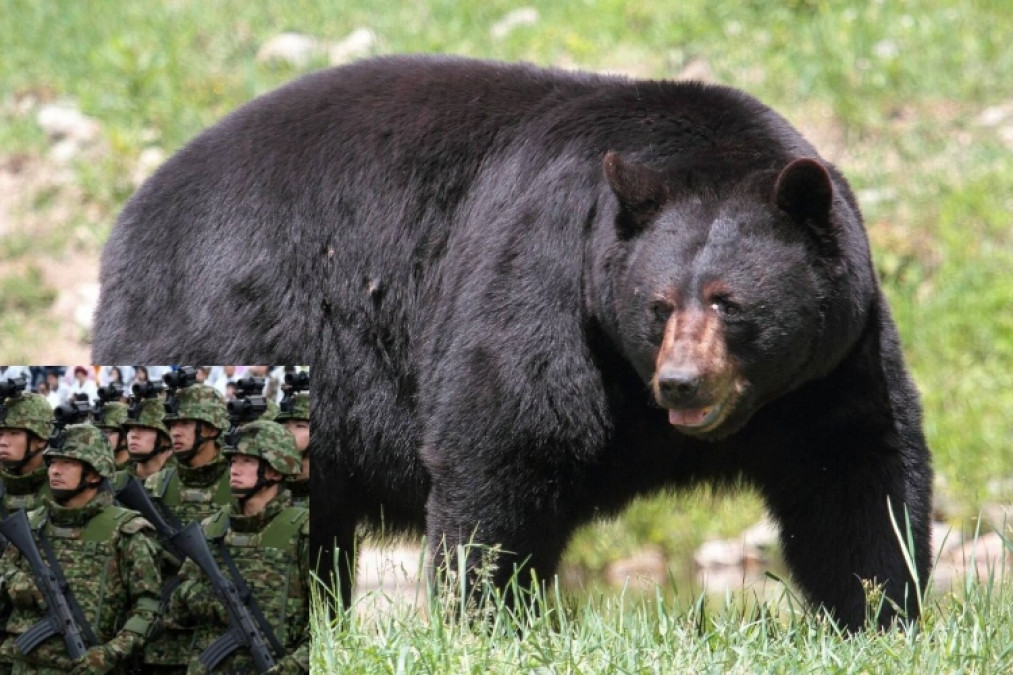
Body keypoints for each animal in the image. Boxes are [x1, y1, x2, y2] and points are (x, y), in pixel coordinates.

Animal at [92, 54, 933, 632]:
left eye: (728, 302)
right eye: (658, 304)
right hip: (226, 322)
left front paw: (877, 610)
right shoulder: (546, 277)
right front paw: (483, 616)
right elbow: (505, 438)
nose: (681, 383)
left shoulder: (833, 358)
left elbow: (856, 471)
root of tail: (133, 214)